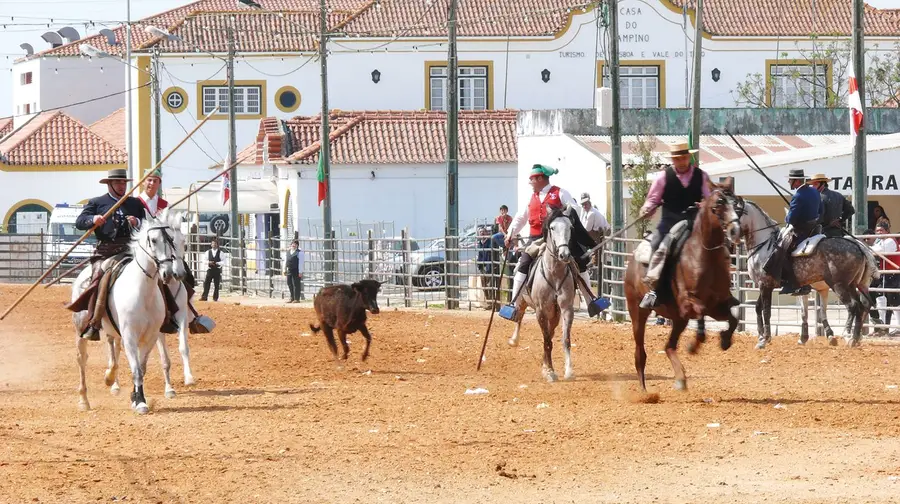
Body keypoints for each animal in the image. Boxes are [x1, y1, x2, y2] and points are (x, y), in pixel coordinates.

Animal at [72, 209, 185, 414]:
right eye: (153, 240)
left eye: (172, 239)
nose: (168, 273)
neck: (143, 291)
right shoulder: (130, 336)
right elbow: (136, 370)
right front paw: (140, 401)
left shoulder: (150, 336)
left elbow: (141, 367)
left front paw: (135, 397)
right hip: (81, 330)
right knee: (82, 359)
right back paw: (84, 400)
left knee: (113, 353)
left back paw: (110, 378)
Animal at [510, 207, 580, 380]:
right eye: (552, 228)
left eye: (570, 227)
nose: (564, 254)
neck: (554, 273)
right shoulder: (540, 310)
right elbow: (546, 340)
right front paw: (549, 371)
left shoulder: (566, 309)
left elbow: (564, 339)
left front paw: (568, 370)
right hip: (523, 302)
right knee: (519, 316)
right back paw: (514, 339)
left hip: (554, 313)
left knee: (551, 331)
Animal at [624, 187, 740, 392]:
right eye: (718, 204)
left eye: (736, 204)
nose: (735, 230)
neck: (705, 256)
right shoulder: (687, 303)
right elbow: (700, 310)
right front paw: (694, 345)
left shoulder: (717, 306)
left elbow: (733, 319)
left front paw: (725, 340)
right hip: (637, 312)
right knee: (640, 353)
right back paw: (644, 391)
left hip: (678, 320)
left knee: (669, 346)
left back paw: (680, 379)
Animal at [736, 199, 876, 348]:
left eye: (736, 211)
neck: (765, 246)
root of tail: (858, 247)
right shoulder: (768, 285)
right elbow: (760, 308)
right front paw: (762, 336)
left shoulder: (765, 285)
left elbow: (767, 311)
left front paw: (764, 339)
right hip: (852, 285)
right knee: (861, 306)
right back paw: (854, 338)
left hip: (838, 285)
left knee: (852, 306)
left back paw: (847, 334)